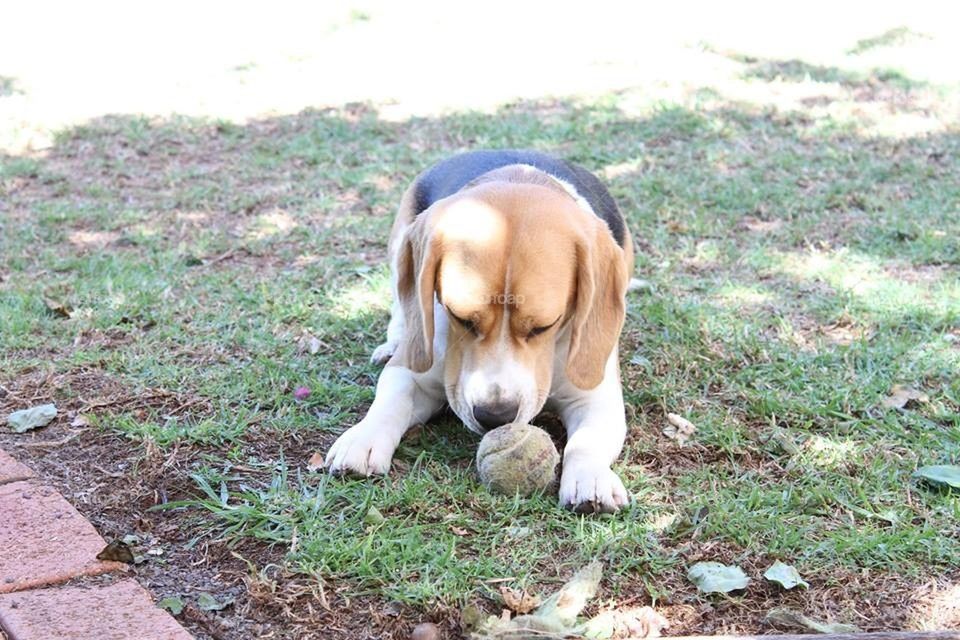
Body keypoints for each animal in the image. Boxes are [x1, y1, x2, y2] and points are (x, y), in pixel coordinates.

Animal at [326, 150, 632, 516]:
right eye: (460, 317)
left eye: (545, 325)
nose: (495, 416)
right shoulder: (412, 374)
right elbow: (390, 400)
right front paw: (364, 439)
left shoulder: (596, 397)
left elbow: (587, 442)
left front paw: (591, 477)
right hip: (400, 243)